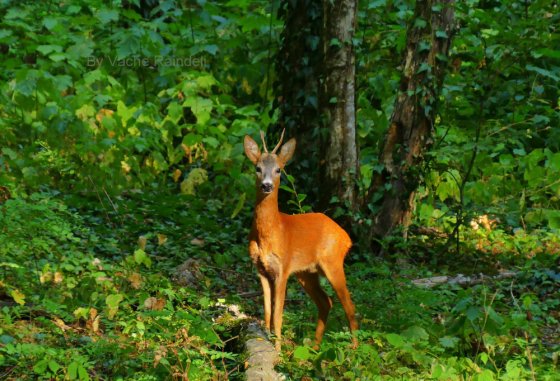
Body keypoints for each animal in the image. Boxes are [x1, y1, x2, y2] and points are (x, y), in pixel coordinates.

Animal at [242, 129, 356, 348]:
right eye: (257, 168)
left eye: (278, 170)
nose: (266, 186)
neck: (271, 232)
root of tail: (347, 237)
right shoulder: (261, 269)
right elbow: (267, 311)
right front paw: (267, 340)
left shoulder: (283, 268)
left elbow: (278, 315)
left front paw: (278, 350)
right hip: (307, 273)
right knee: (326, 301)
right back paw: (314, 347)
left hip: (333, 263)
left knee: (349, 305)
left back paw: (354, 349)